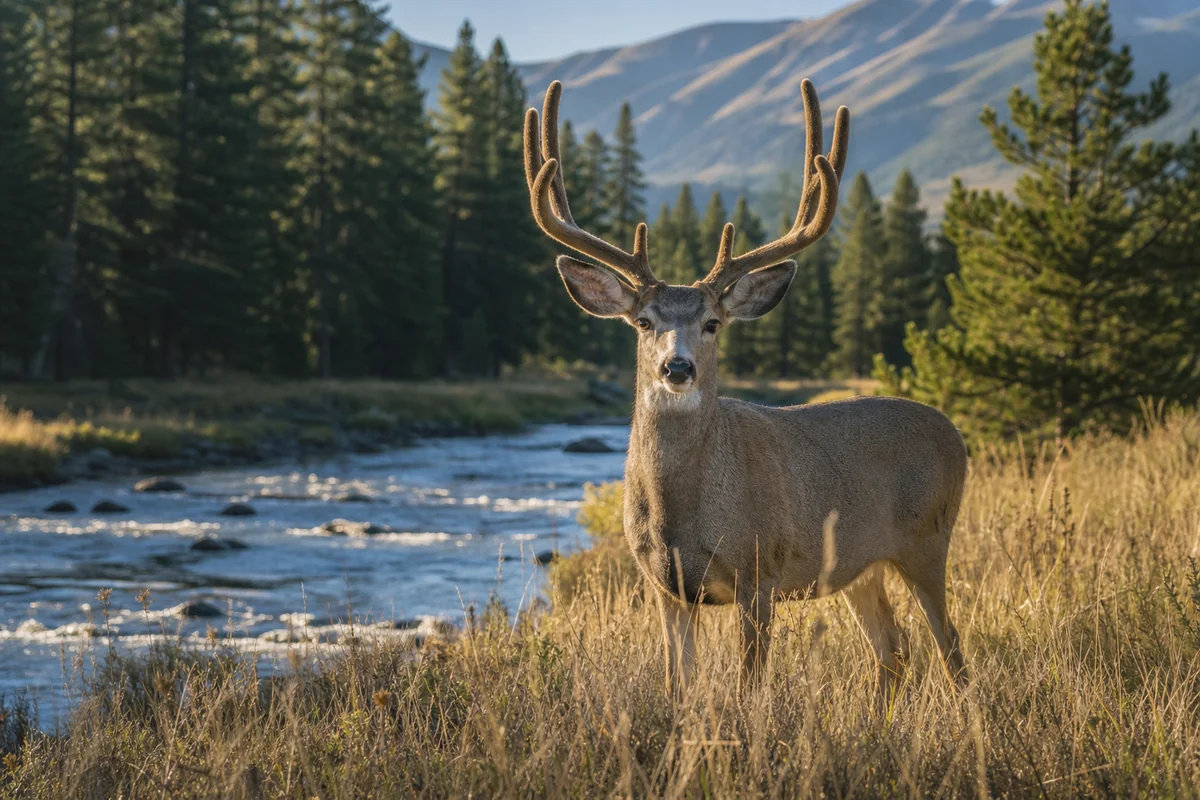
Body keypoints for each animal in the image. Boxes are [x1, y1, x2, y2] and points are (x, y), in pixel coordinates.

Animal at [524, 79, 968, 697]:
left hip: (928, 539)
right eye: (643, 322)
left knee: (951, 651)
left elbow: (748, 687)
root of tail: (956, 434)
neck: (681, 511)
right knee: (893, 648)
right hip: (861, 565)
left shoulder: (760, 573)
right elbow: (677, 685)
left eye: (713, 323)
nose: (677, 368)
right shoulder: (664, 587)